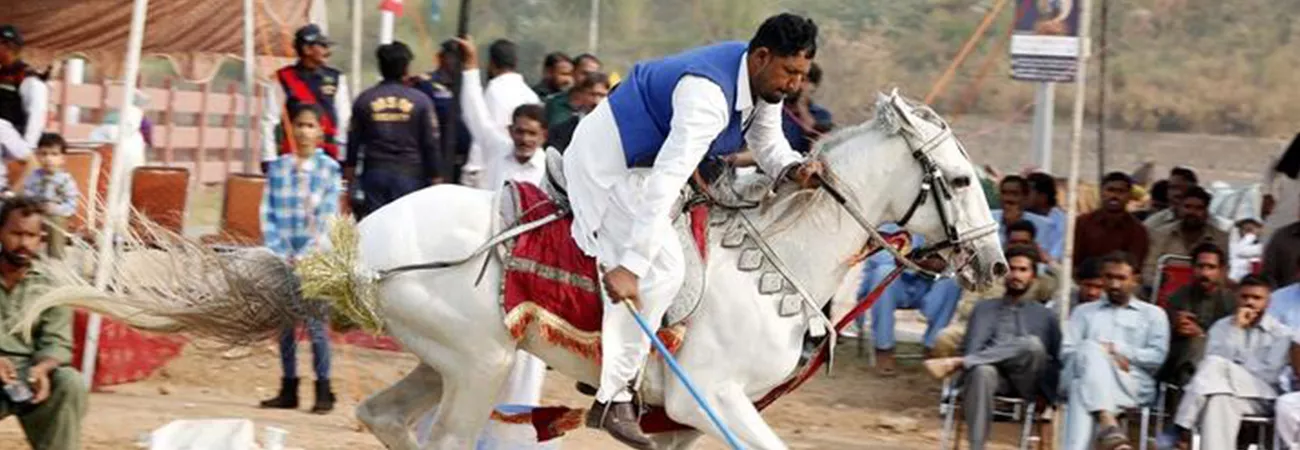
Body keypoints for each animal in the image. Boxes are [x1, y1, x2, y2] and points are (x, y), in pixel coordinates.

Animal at [14, 91, 1006, 450]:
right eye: (959, 180)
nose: (997, 264)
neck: (775, 264)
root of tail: (351, 248)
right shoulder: (712, 402)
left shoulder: (681, 427)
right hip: (478, 365)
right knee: (441, 440)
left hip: (446, 360)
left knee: (386, 418)